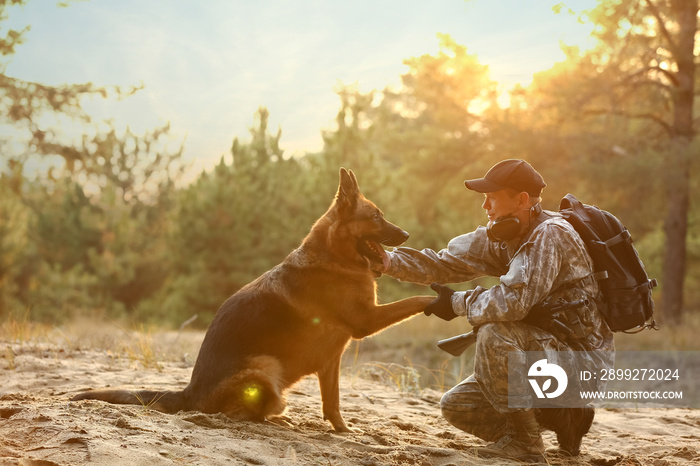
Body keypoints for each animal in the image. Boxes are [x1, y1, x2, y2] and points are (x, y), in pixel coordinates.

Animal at [72, 168, 432, 434]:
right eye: (376, 217)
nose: (407, 236)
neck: (333, 256)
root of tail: (189, 392)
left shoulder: (332, 361)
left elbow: (333, 403)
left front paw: (341, 429)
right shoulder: (366, 320)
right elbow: (417, 298)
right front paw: (440, 298)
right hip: (266, 368)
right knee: (239, 413)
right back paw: (273, 418)